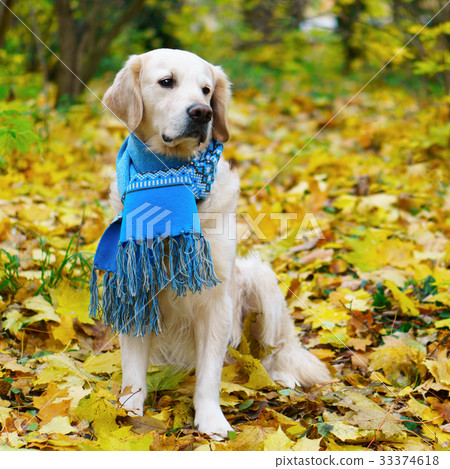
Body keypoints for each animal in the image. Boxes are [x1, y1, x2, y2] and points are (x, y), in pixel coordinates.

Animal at [104, 49, 330, 436]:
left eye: (207, 90)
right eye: (167, 81)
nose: (202, 112)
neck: (171, 177)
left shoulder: (218, 299)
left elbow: (208, 376)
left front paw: (211, 420)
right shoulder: (135, 288)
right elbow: (133, 370)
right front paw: (128, 412)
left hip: (259, 279)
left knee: (275, 352)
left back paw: (281, 378)